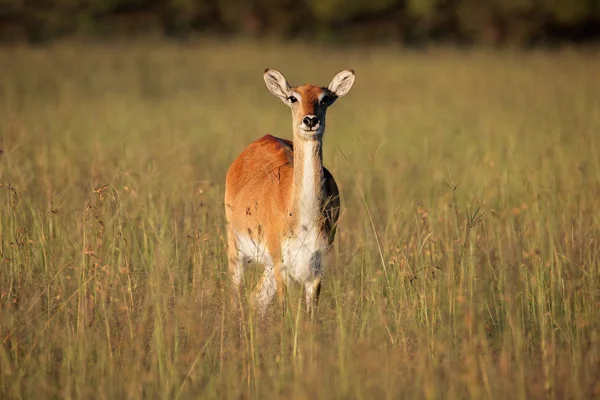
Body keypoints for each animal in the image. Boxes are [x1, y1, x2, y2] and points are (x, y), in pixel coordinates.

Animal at [225, 69, 356, 318]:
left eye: (325, 98)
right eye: (293, 97)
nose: (310, 120)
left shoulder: (315, 270)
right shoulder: (281, 266)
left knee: (256, 299)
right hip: (236, 250)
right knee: (236, 297)